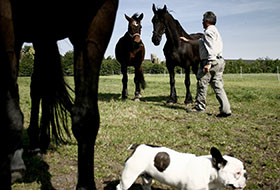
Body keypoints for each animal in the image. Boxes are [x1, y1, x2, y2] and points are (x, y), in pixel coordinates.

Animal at [116, 145, 247, 189]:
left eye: (244, 170)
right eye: (237, 173)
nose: (246, 176)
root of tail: (139, 146)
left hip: (147, 176)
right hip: (129, 177)